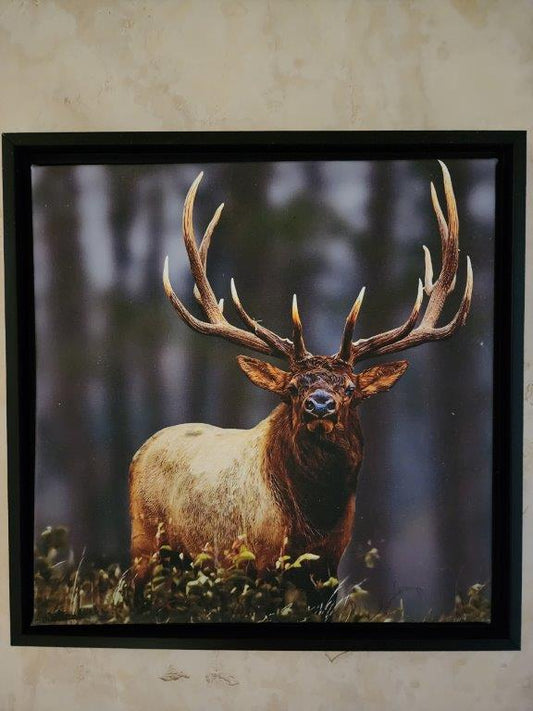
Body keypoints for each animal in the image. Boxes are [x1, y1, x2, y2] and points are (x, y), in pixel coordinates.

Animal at [129, 161, 473, 589]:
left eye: (350, 388)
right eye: (293, 387)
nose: (320, 404)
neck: (313, 526)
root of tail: (141, 450)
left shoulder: (328, 574)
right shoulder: (256, 565)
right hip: (145, 548)